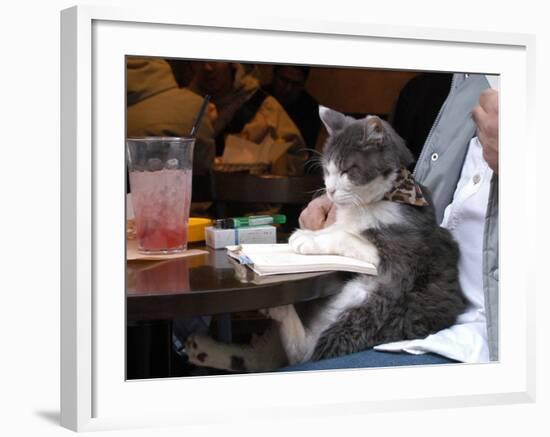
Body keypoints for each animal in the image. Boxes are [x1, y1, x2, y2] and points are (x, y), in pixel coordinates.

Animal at [187, 106, 470, 372]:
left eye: (346, 170)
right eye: (327, 170)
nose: (330, 190)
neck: (373, 201)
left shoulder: (401, 253)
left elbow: (346, 235)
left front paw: (306, 239)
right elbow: (338, 228)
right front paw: (312, 231)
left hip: (372, 307)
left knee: (307, 354)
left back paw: (279, 312)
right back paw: (202, 349)